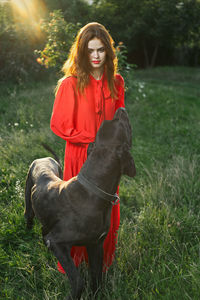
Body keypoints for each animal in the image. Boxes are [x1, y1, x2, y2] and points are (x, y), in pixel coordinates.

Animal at [24, 108, 135, 300]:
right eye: (119, 122)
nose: (121, 109)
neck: (93, 191)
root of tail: (42, 159)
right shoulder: (58, 243)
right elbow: (78, 280)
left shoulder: (95, 244)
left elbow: (96, 277)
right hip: (29, 205)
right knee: (30, 218)